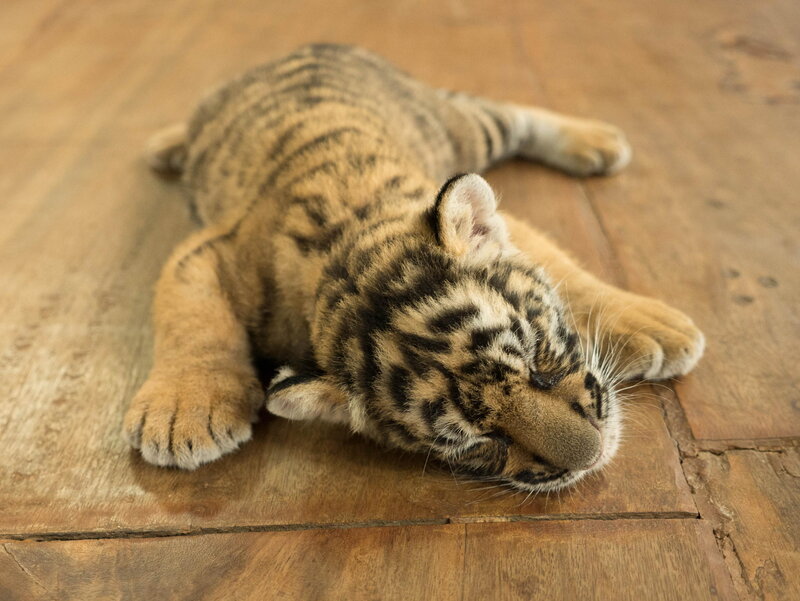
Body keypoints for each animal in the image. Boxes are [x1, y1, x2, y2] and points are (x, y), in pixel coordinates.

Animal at [123, 43, 704, 493]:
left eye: (540, 360)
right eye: (478, 441)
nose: (593, 455)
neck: (344, 245)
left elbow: (568, 272)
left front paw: (656, 328)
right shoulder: (208, 250)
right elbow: (193, 317)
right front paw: (182, 413)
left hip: (463, 128)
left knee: (507, 111)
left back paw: (600, 142)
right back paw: (165, 144)